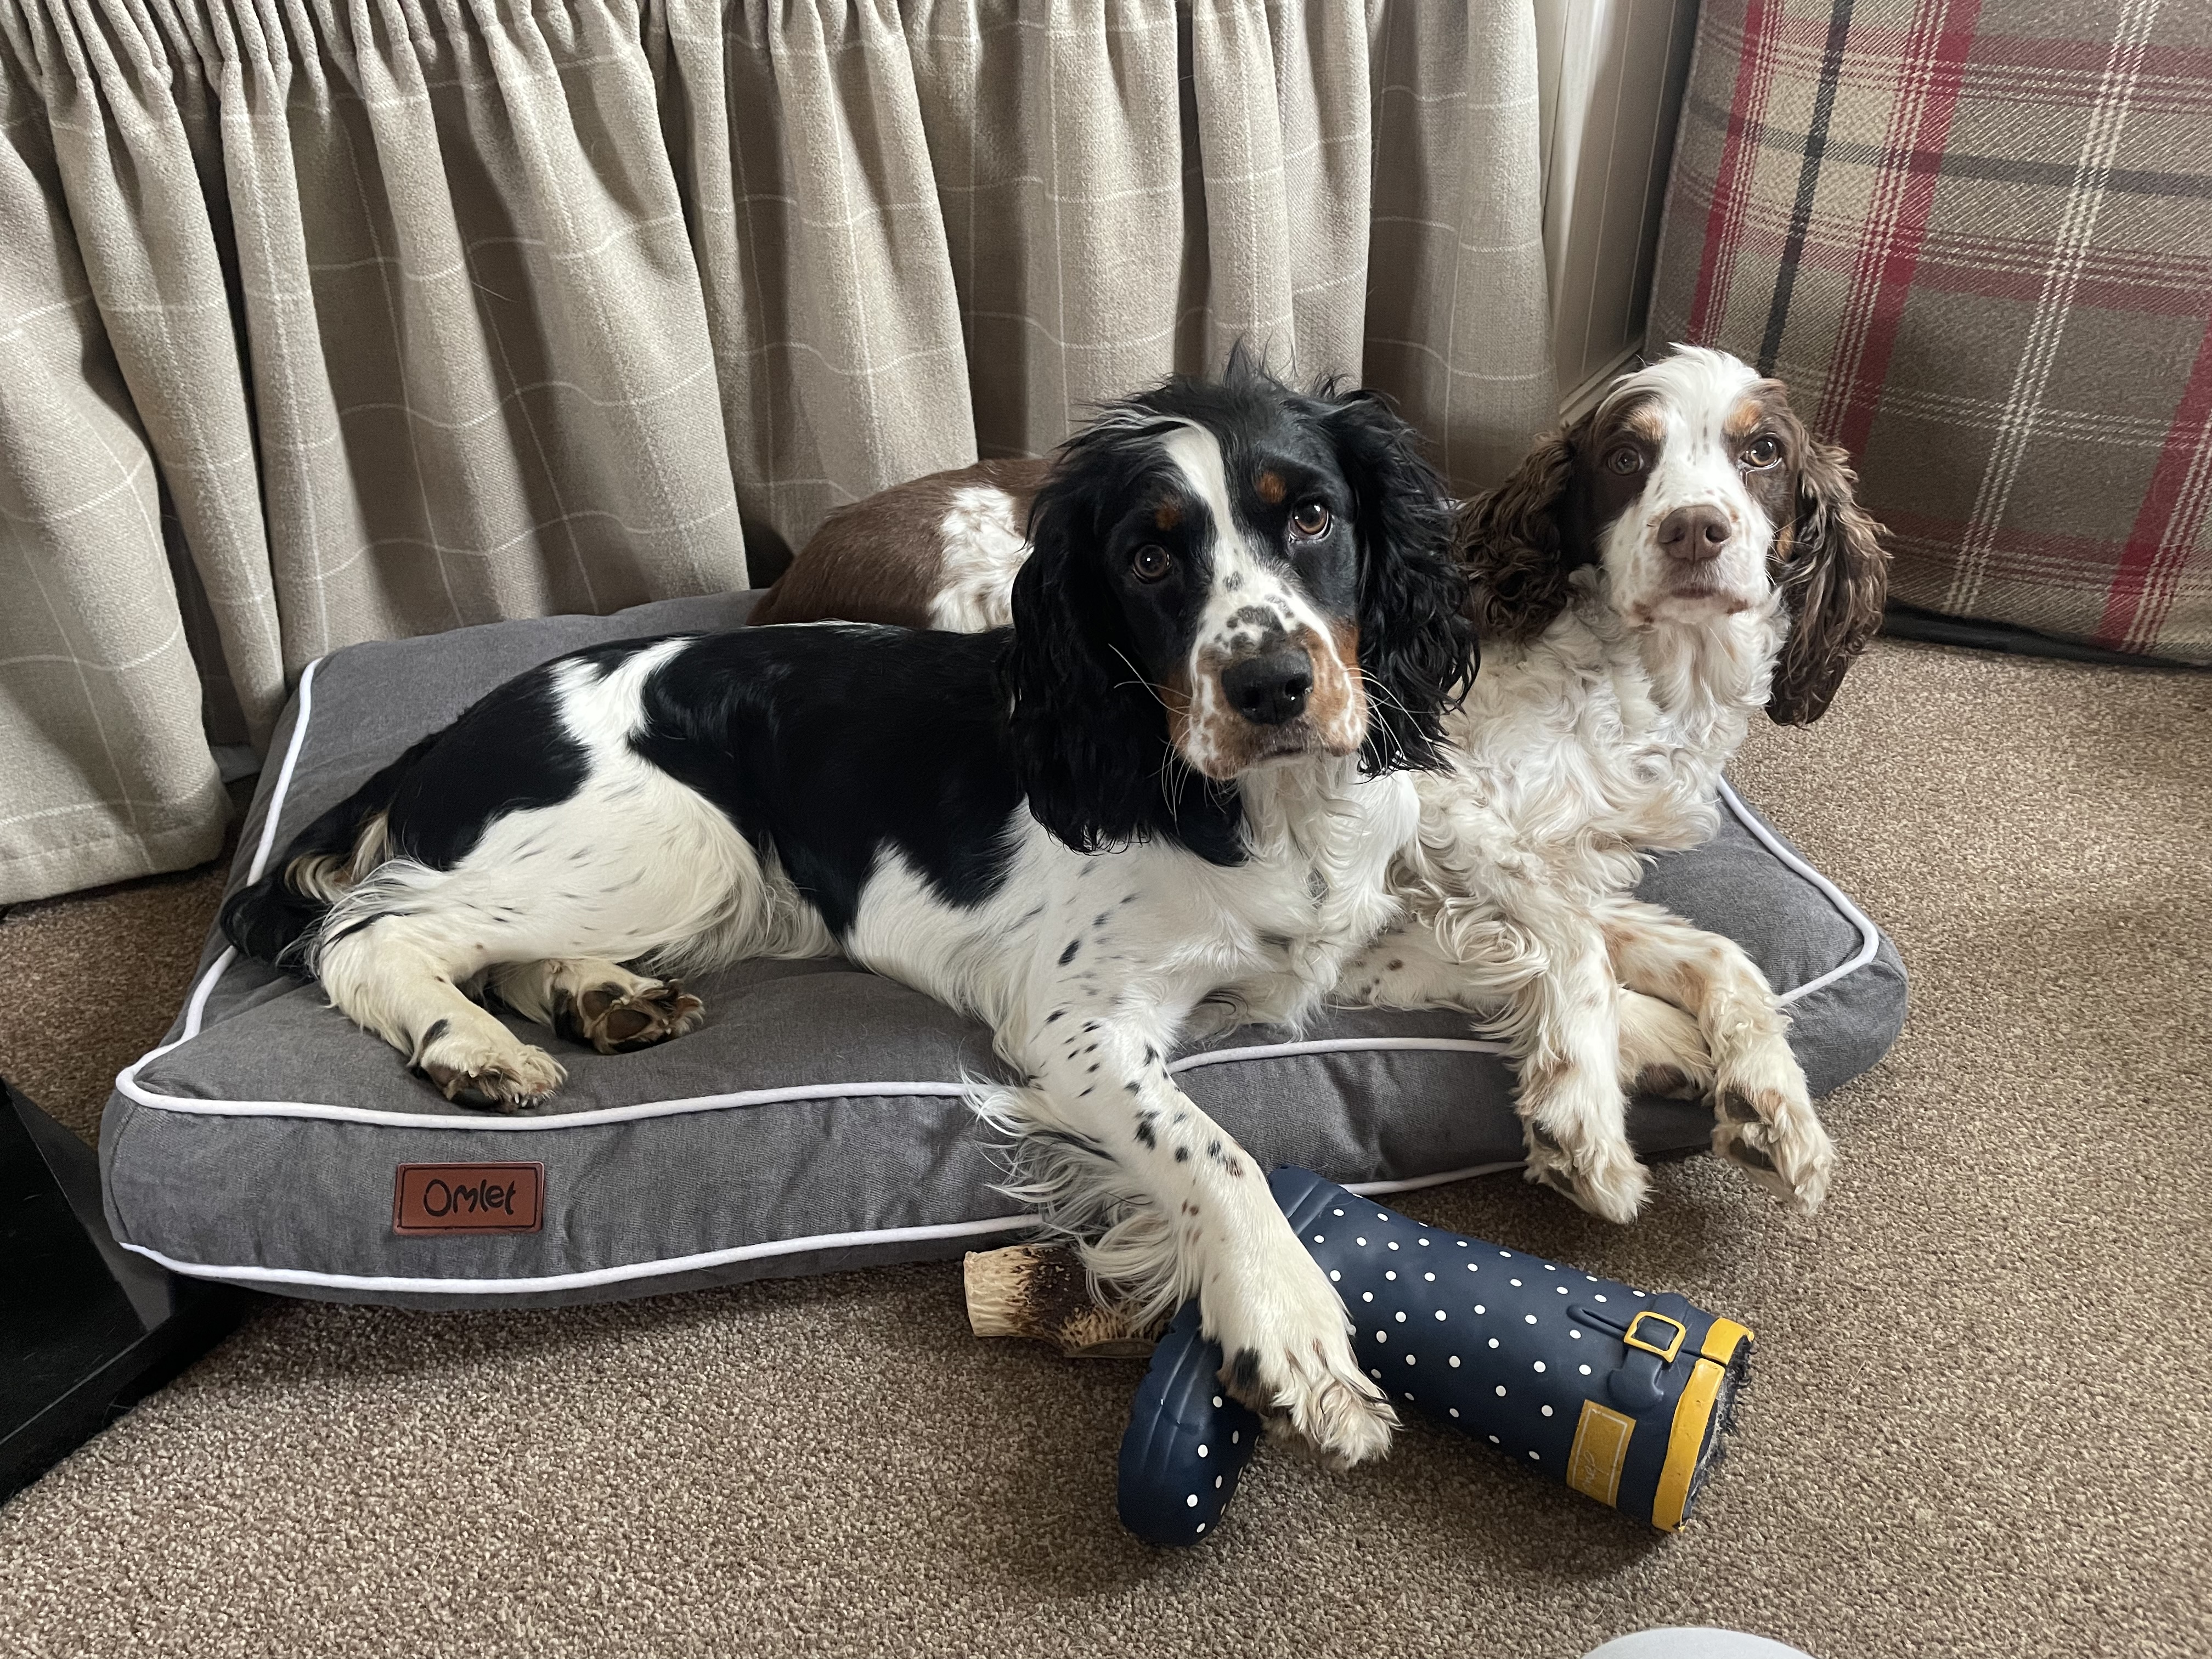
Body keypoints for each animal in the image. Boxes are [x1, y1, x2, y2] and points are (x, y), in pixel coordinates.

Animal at [224, 363, 1469, 1469]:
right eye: (1151, 555)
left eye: (1311, 514)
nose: (1271, 688)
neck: (1260, 807)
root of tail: (454, 729)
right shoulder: (1075, 1023)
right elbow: (1217, 1151)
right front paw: (1295, 1336)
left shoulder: (1341, 940)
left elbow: (1475, 955)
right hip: (676, 845)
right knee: (372, 932)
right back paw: (476, 1050)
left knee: (486, 947)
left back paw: (601, 998)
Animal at [756, 352, 1884, 1229]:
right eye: (1625, 456)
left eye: (1763, 454)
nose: (1695, 530)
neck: (1642, 677)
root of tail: (787, 580)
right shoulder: (1452, 812)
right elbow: (1573, 947)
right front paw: (1585, 1119)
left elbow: (1701, 949)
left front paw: (1770, 1098)